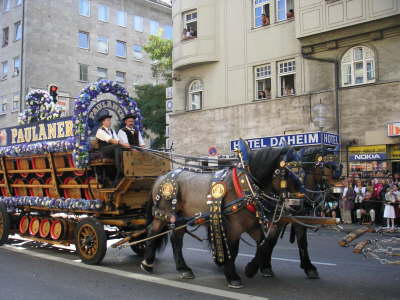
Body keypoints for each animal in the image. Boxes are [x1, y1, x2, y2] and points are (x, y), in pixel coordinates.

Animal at [141, 147, 304, 288]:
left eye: (302, 172)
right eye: (286, 173)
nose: (298, 204)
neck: (245, 186)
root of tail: (162, 177)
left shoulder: (253, 225)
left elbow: (265, 244)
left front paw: (250, 269)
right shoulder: (234, 228)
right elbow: (233, 249)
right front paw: (232, 277)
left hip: (179, 218)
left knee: (176, 240)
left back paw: (183, 269)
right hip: (164, 214)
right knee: (153, 232)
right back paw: (147, 263)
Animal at [245, 148, 342, 278]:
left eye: (339, 167)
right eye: (326, 166)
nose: (337, 194)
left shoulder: (298, 219)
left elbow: (302, 242)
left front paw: (309, 267)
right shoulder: (275, 220)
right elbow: (269, 242)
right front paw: (258, 266)